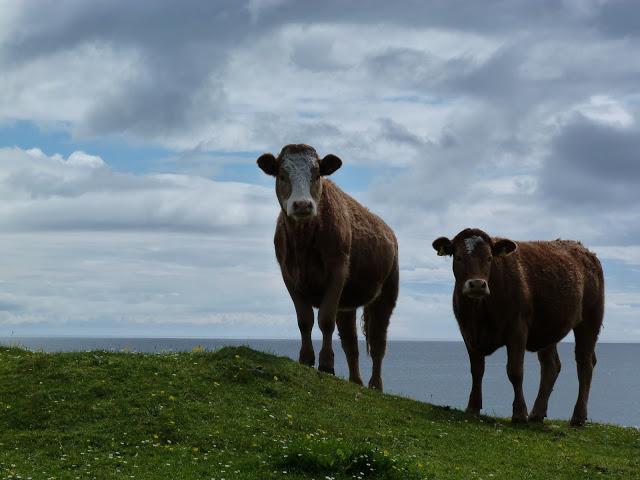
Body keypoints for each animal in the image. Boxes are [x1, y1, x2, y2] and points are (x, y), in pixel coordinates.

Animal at [256, 142, 398, 390]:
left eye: (317, 174)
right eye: (282, 175)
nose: (302, 204)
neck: (303, 242)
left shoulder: (338, 270)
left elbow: (325, 320)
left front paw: (326, 364)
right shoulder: (288, 276)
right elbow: (304, 320)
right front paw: (305, 359)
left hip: (387, 293)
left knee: (378, 341)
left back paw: (375, 386)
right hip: (347, 303)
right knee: (351, 343)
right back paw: (355, 381)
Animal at [432, 229, 604, 428]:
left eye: (489, 258)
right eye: (459, 257)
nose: (477, 284)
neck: (480, 312)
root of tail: (585, 250)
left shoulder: (518, 328)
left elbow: (515, 371)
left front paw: (519, 414)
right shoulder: (468, 332)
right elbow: (477, 370)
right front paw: (473, 407)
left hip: (590, 320)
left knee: (585, 364)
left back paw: (578, 417)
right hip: (548, 329)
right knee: (551, 366)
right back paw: (537, 413)